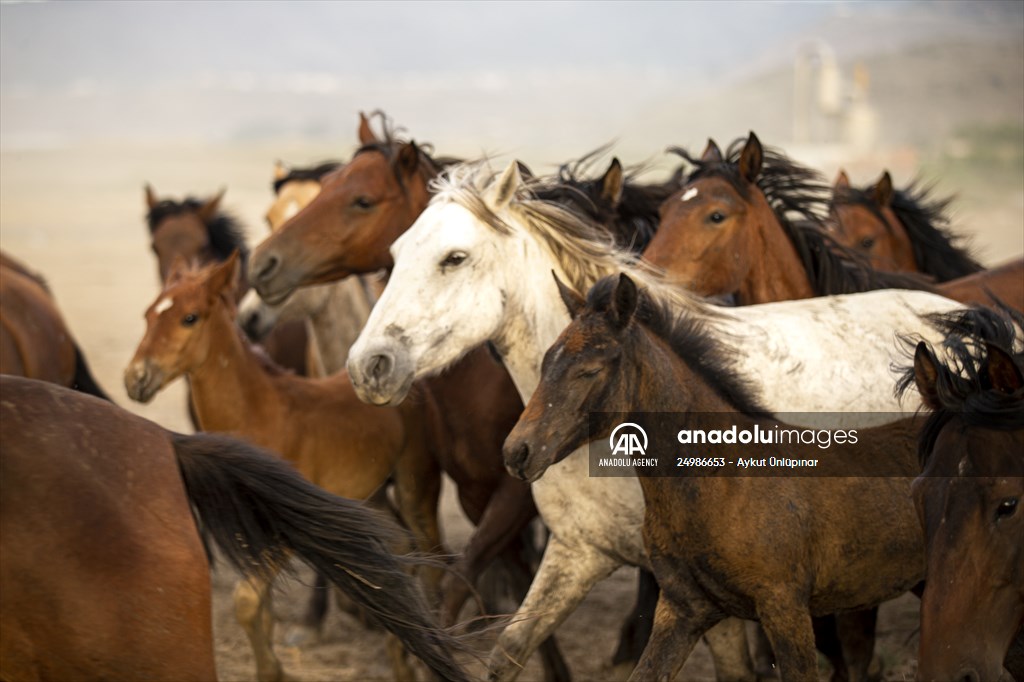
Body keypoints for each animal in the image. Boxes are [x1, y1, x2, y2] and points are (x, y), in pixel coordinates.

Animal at [124, 252, 446, 682]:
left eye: (189, 317)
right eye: (147, 314)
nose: (136, 378)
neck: (259, 412)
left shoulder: (283, 530)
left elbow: (246, 601)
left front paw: (272, 670)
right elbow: (261, 609)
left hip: (416, 485)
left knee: (432, 558)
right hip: (368, 495)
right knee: (400, 550)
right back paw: (400, 657)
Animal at [503, 272, 925, 682]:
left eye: (589, 370)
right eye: (545, 363)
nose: (516, 451)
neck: (723, 481)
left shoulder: (785, 606)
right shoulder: (683, 609)